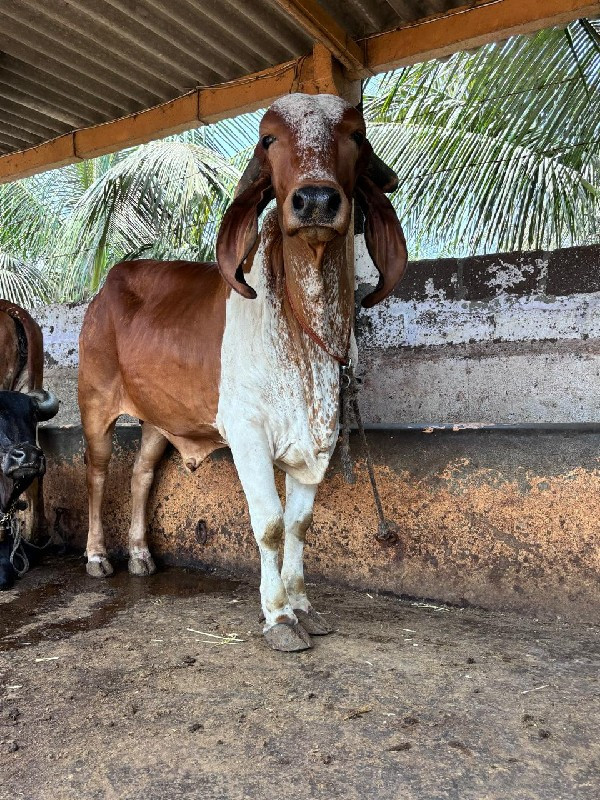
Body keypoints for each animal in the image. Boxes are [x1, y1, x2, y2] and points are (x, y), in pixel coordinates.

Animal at [78, 94, 408, 648]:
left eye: (355, 136)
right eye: (269, 138)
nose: (315, 200)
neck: (304, 328)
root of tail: (107, 287)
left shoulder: (317, 441)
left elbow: (299, 526)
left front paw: (304, 607)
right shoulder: (247, 433)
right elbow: (270, 525)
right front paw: (278, 617)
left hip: (156, 420)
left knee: (142, 473)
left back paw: (141, 554)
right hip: (96, 403)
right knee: (100, 473)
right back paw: (98, 556)